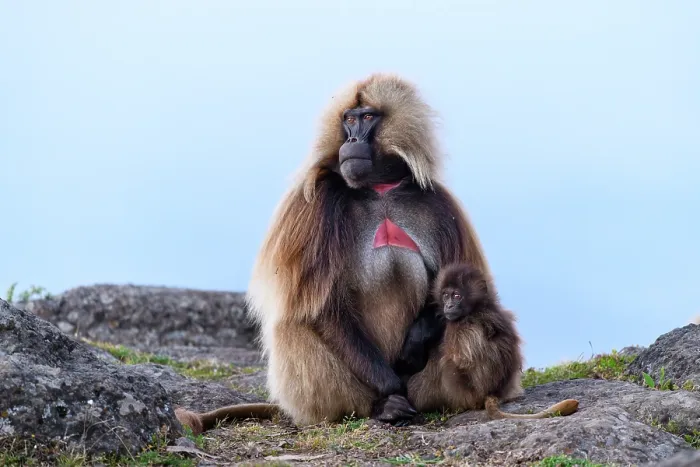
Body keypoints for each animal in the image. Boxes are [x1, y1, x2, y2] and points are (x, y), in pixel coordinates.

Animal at [174, 73, 495, 434]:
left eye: (368, 117)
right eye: (349, 119)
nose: (352, 139)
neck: (380, 189)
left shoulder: (440, 205)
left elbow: (458, 296)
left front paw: (414, 345)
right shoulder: (315, 204)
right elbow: (322, 307)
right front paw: (392, 389)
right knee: (295, 322)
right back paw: (384, 407)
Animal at [404, 262, 579, 420]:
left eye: (457, 296)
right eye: (446, 295)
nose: (449, 306)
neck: (478, 308)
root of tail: (492, 393)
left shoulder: (457, 327)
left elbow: (461, 361)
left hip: (464, 396)